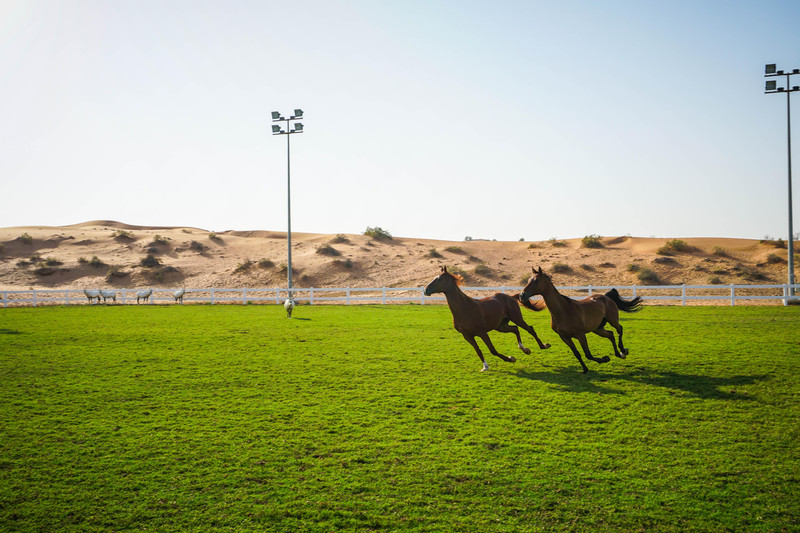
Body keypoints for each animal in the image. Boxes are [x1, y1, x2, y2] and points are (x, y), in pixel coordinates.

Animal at [424, 264, 552, 370]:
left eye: (439, 279)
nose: (426, 290)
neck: (464, 308)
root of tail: (511, 297)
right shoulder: (467, 336)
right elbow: (478, 351)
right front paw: (485, 367)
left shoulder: (482, 332)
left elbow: (492, 350)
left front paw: (511, 359)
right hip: (501, 326)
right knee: (515, 329)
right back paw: (525, 349)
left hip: (517, 318)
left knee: (529, 328)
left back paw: (543, 346)